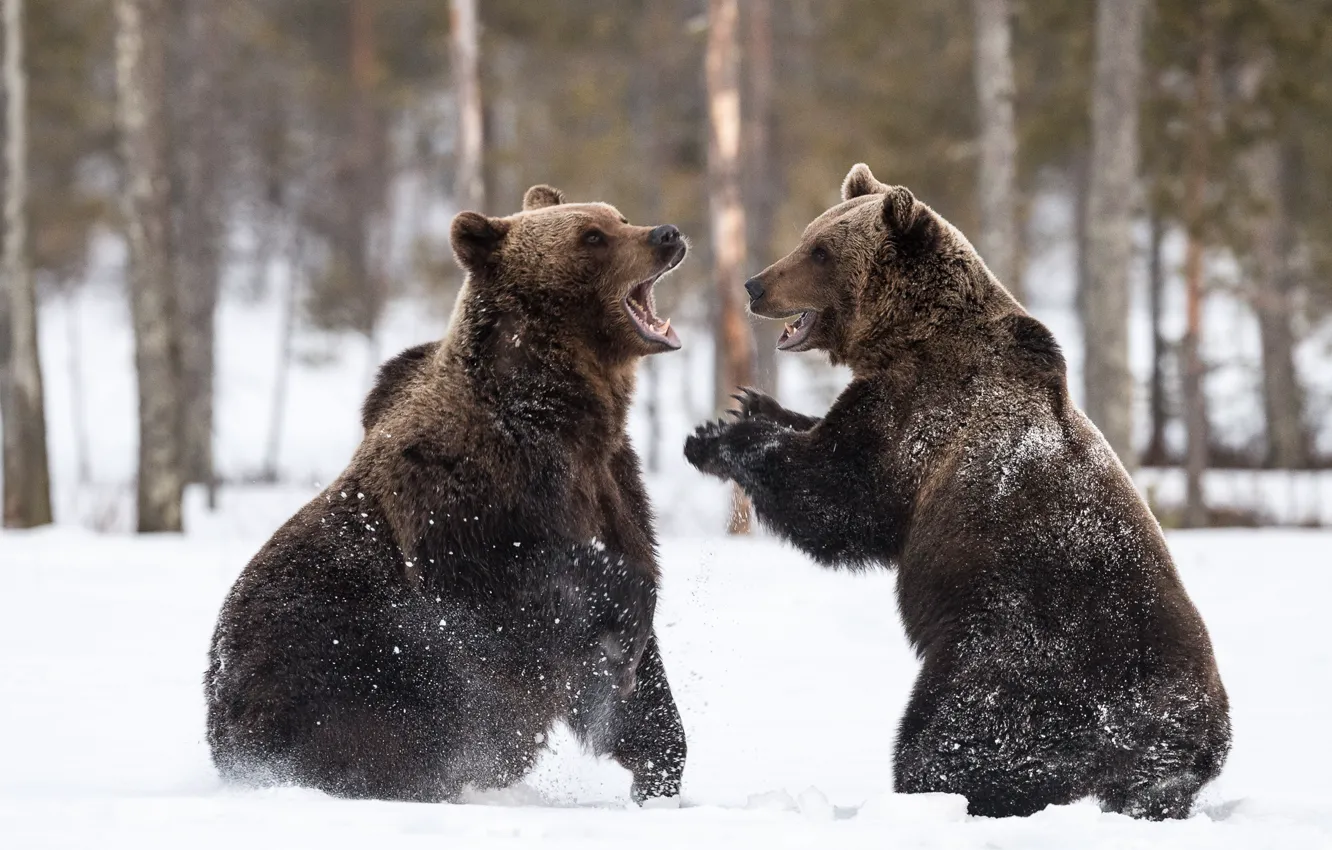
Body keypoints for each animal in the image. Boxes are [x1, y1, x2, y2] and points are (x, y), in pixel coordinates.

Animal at [206, 184, 688, 804]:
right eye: (592, 236)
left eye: (618, 217)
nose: (667, 234)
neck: (557, 413)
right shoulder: (466, 503)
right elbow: (539, 589)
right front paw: (628, 628)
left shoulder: (612, 484)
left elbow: (637, 680)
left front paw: (657, 766)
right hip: (337, 678)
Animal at [685, 163, 1230, 819]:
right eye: (809, 234)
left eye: (819, 250)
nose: (754, 285)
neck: (911, 336)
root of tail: (1196, 736)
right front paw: (752, 404)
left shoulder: (924, 419)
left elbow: (842, 493)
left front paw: (716, 437)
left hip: (1025, 659)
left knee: (954, 739)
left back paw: (933, 791)